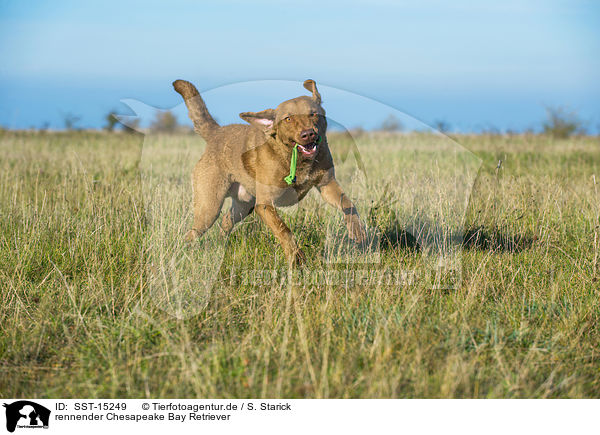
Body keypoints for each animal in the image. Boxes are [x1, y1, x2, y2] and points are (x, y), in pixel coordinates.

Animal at [171, 79, 364, 266]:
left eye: (313, 114)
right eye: (288, 119)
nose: (308, 134)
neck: (296, 159)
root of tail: (217, 132)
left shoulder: (327, 185)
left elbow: (348, 204)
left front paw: (358, 232)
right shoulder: (264, 204)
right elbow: (284, 230)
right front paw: (297, 258)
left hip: (243, 206)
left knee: (226, 221)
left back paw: (220, 245)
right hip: (209, 208)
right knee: (192, 232)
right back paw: (183, 252)